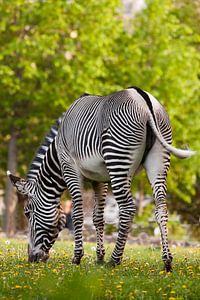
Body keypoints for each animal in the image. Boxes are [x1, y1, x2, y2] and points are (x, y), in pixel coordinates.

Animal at [7, 87, 194, 272]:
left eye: (28, 212)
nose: (32, 259)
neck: (57, 155)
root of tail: (142, 97)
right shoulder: (99, 178)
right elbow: (97, 217)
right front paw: (99, 257)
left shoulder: (70, 168)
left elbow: (78, 214)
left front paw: (77, 258)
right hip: (158, 161)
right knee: (161, 208)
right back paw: (167, 261)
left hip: (117, 159)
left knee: (127, 208)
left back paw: (115, 260)